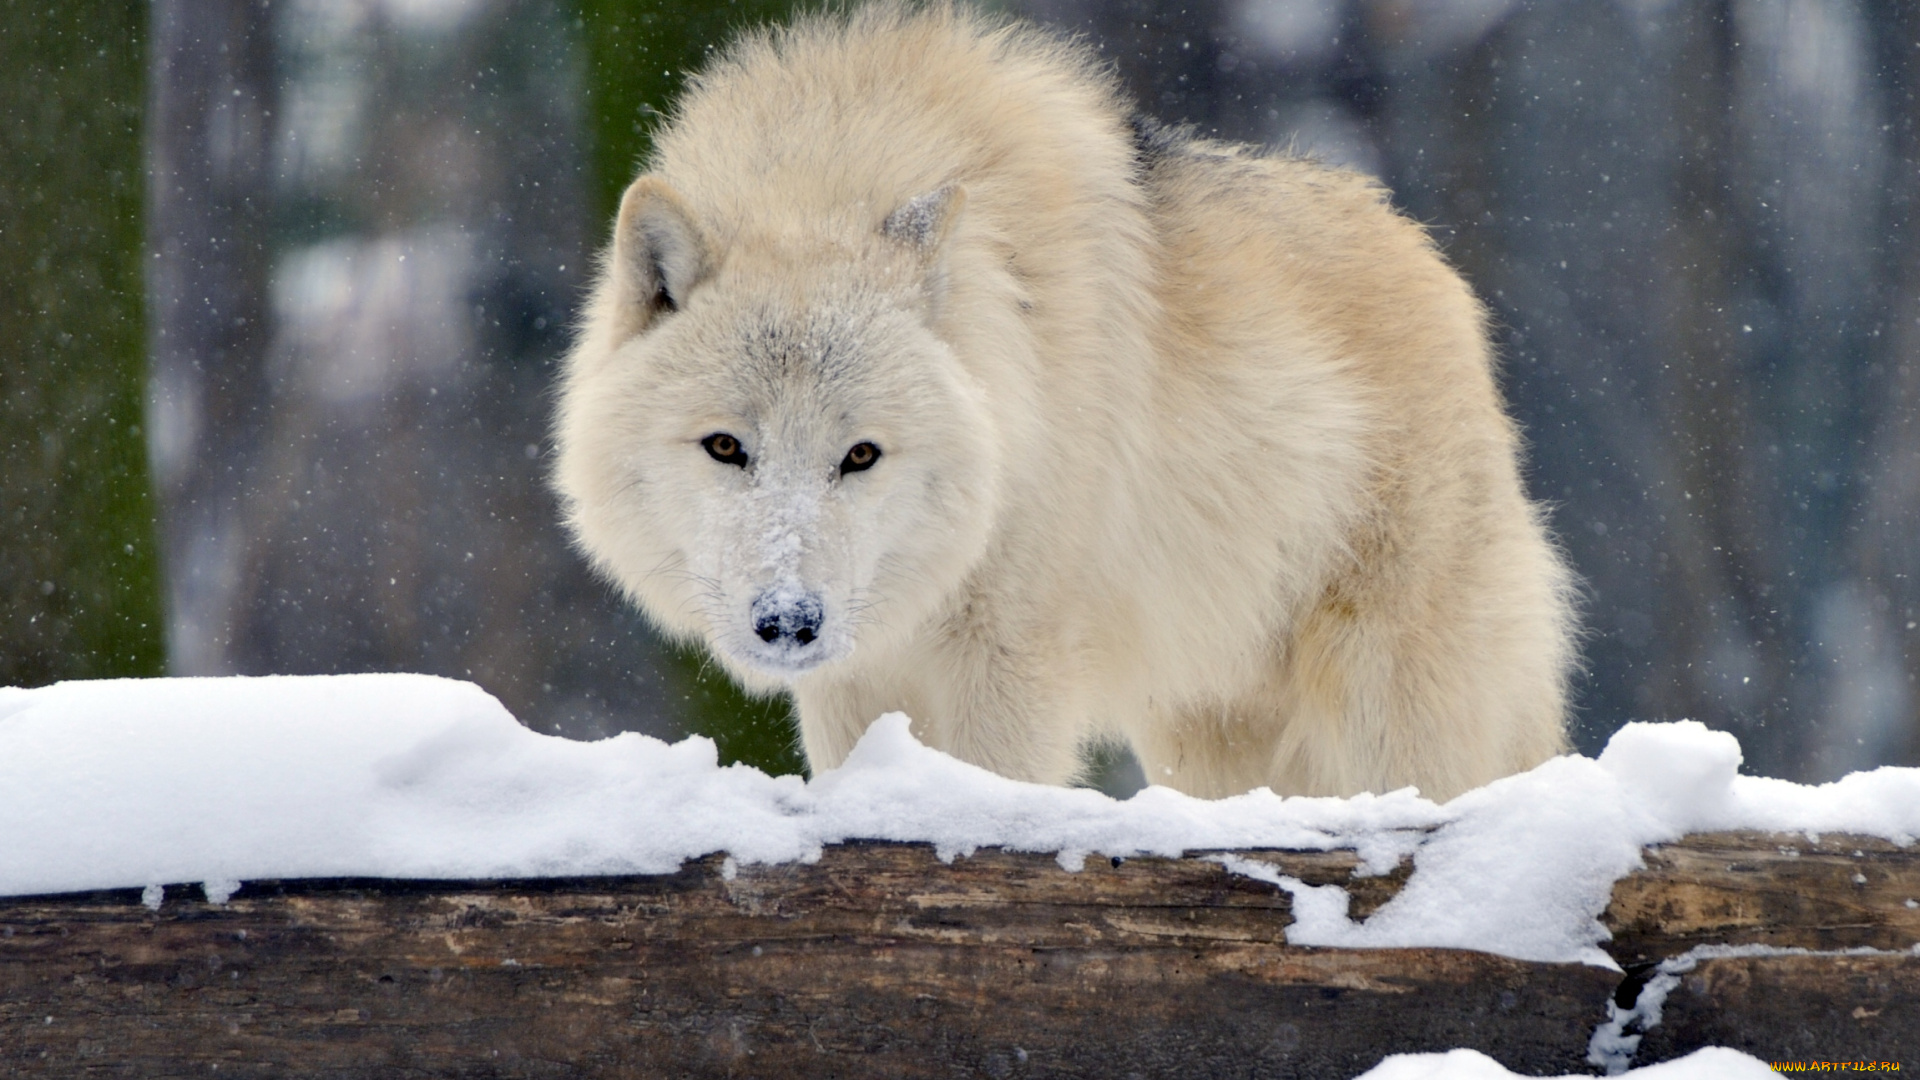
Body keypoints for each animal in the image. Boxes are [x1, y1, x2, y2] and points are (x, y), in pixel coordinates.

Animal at [556, 2, 1574, 799]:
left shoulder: (1011, 662)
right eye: (727, 447)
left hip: (1386, 708)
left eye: (861, 455)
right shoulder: (857, 680)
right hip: (1209, 736)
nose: (789, 622)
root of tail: (1436, 266)